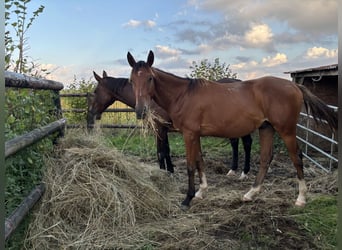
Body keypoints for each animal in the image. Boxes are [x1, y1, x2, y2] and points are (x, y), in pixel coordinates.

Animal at [88, 71, 252, 178]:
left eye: (95, 91)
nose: (91, 112)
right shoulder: (164, 129)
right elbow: (166, 150)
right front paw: (170, 170)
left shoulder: (159, 128)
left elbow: (160, 152)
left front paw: (163, 173)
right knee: (237, 143)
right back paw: (233, 170)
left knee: (246, 143)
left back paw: (244, 172)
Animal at [126, 49, 336, 210]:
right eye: (131, 81)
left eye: (150, 78)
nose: (140, 111)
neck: (183, 95)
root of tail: (295, 86)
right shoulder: (196, 135)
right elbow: (200, 161)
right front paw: (201, 191)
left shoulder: (189, 134)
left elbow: (190, 165)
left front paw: (187, 199)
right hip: (266, 128)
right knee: (265, 159)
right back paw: (250, 194)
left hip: (286, 131)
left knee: (297, 158)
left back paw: (301, 198)